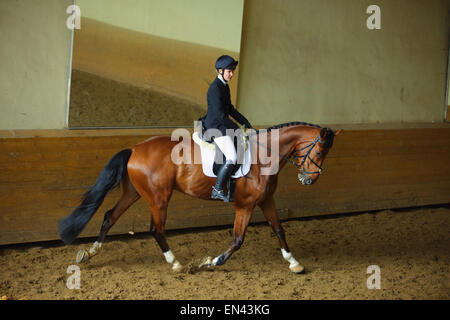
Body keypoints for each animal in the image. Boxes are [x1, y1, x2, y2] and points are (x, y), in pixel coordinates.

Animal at [59, 122, 342, 272]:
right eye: (319, 152)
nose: (309, 180)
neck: (264, 156)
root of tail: (135, 148)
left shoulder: (265, 201)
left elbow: (279, 230)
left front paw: (294, 262)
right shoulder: (245, 205)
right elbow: (238, 240)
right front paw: (212, 261)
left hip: (134, 192)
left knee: (109, 216)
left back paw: (89, 253)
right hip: (159, 198)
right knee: (156, 229)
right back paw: (175, 263)